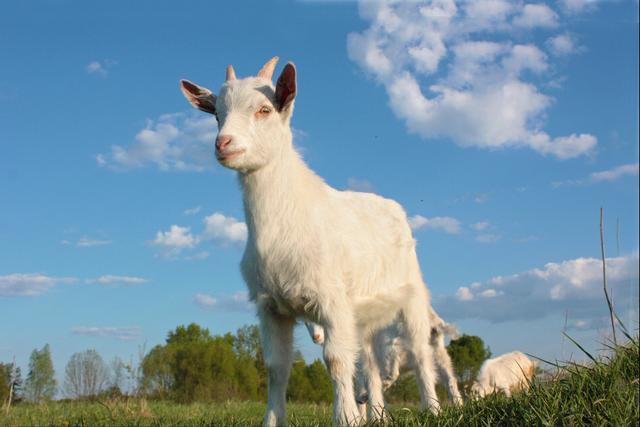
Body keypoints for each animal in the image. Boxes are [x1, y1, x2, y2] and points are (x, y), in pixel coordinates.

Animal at [180, 57, 440, 427]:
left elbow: (336, 360)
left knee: (419, 351)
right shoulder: (271, 307)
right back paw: (377, 416)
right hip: (362, 314)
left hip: (413, 294)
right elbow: (276, 367)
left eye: (264, 109)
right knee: (371, 362)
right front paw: (273, 421)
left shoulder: (332, 301)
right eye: (216, 114)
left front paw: (346, 417)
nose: (224, 143)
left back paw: (432, 408)